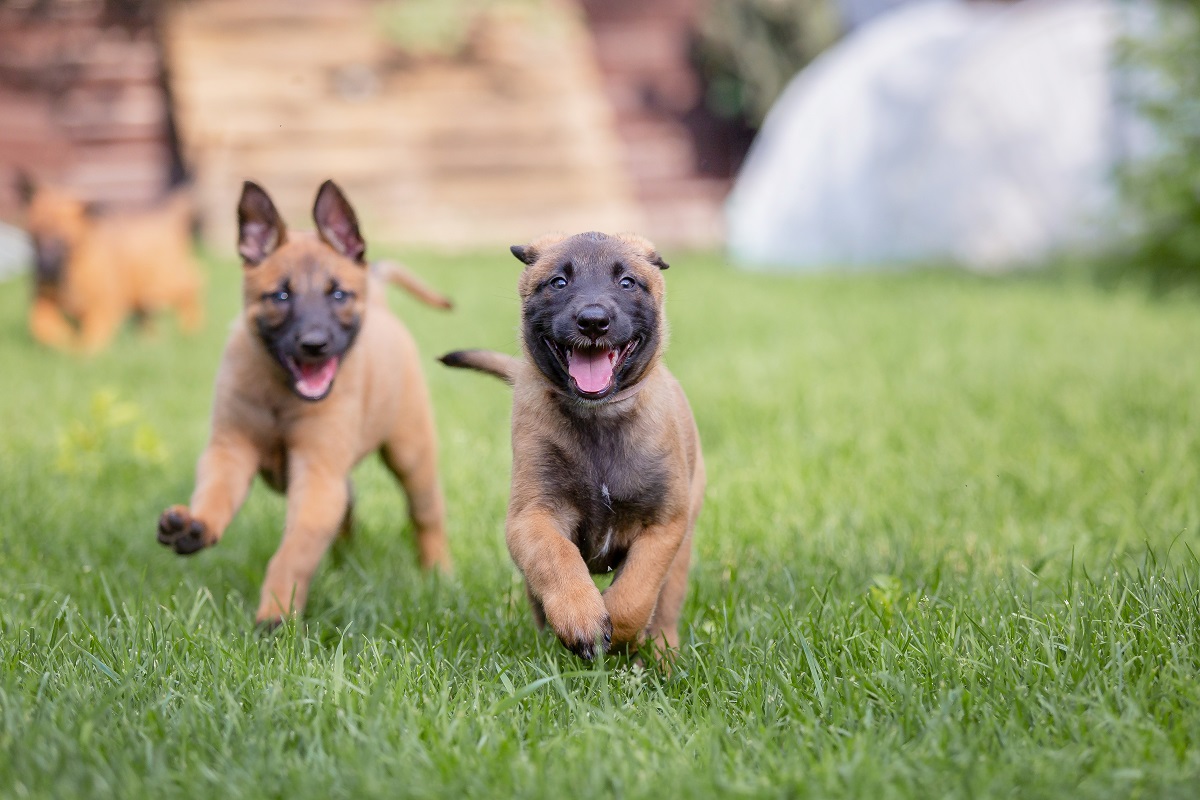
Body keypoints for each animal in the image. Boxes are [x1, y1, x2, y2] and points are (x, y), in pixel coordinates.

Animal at [18, 176, 204, 355]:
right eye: (34, 238)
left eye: (63, 242)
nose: (44, 271)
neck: (73, 271)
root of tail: (169, 219)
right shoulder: (43, 301)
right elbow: (41, 327)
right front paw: (63, 342)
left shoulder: (103, 307)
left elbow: (90, 338)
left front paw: (81, 353)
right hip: (144, 297)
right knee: (148, 317)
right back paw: (150, 340)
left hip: (163, 284)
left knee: (193, 284)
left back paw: (191, 327)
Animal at [159, 179, 453, 623]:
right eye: (281, 296)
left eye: (338, 294)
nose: (314, 345)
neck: (282, 395)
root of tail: (380, 301)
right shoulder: (231, 450)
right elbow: (215, 493)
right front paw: (196, 525)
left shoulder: (316, 473)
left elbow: (294, 552)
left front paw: (276, 611)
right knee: (348, 504)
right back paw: (344, 564)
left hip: (410, 453)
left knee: (426, 513)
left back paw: (438, 572)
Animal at [441, 230, 700, 662]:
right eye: (559, 283)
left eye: (626, 282)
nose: (593, 321)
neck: (598, 419)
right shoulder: (532, 516)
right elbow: (555, 558)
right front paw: (583, 618)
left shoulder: (664, 525)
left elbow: (638, 589)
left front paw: (619, 627)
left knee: (665, 607)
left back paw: (663, 656)